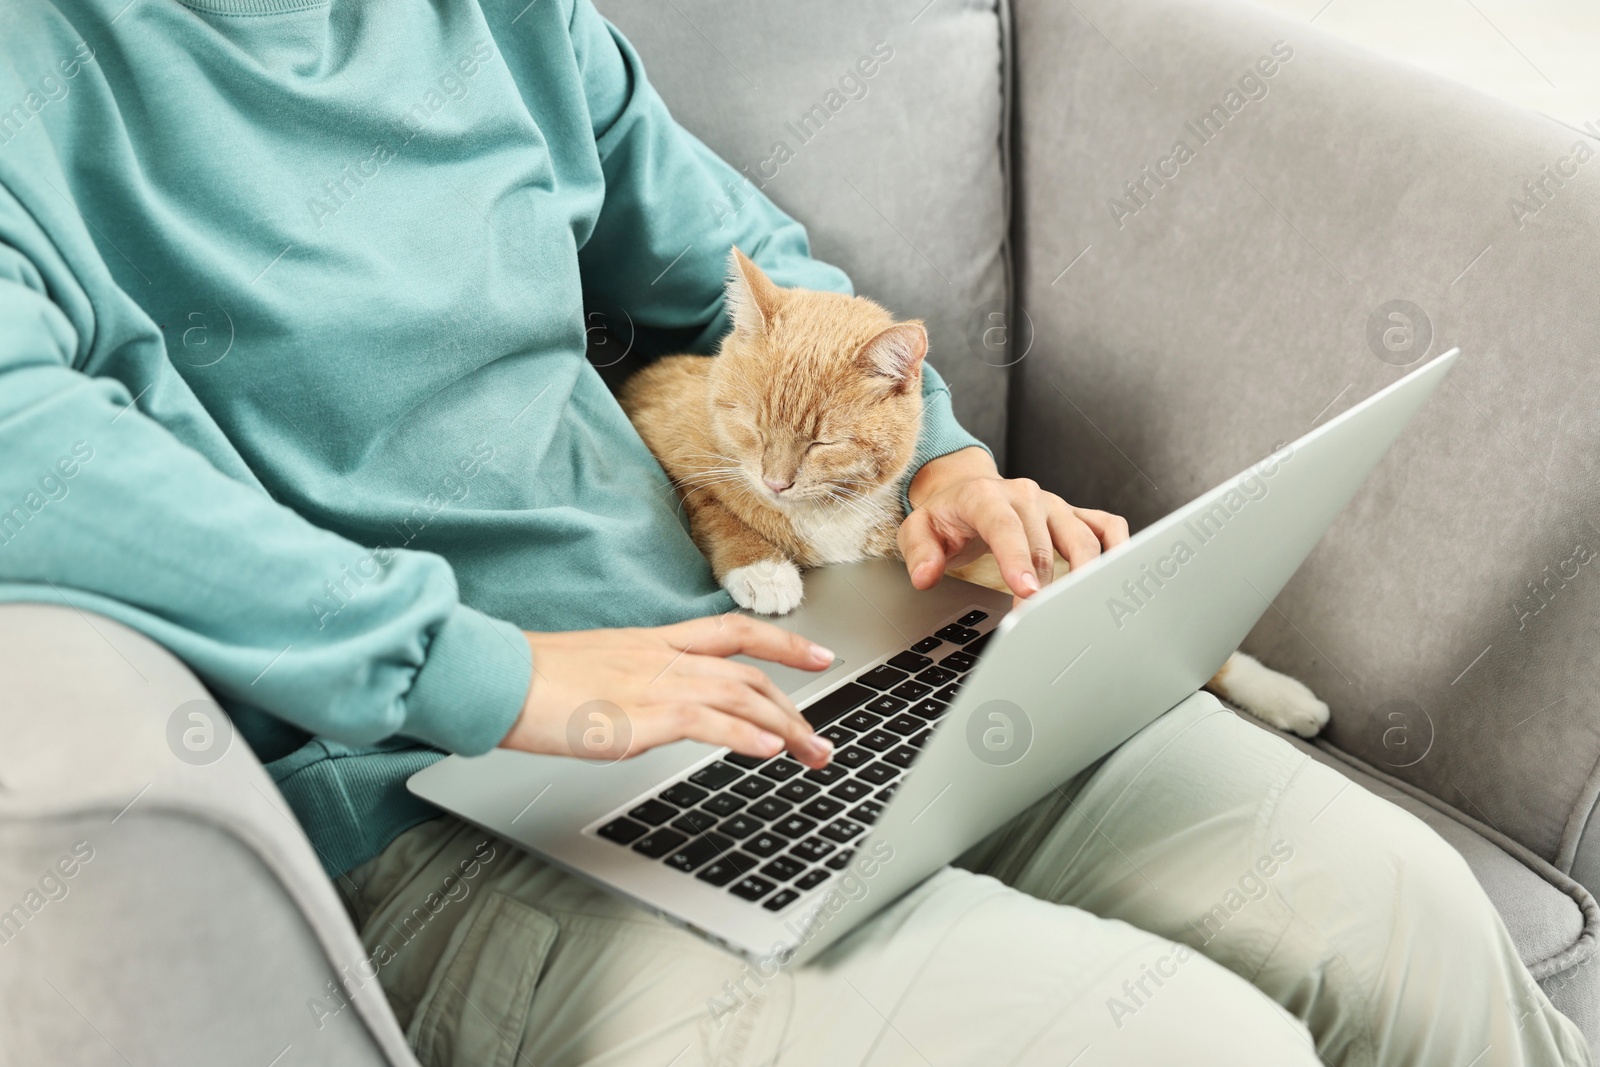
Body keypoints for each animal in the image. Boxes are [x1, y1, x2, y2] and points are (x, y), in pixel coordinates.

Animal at [617, 249, 1331, 739]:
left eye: (822, 442)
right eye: (752, 424)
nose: (776, 481)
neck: (830, 513)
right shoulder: (662, 434)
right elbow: (712, 505)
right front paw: (763, 570)